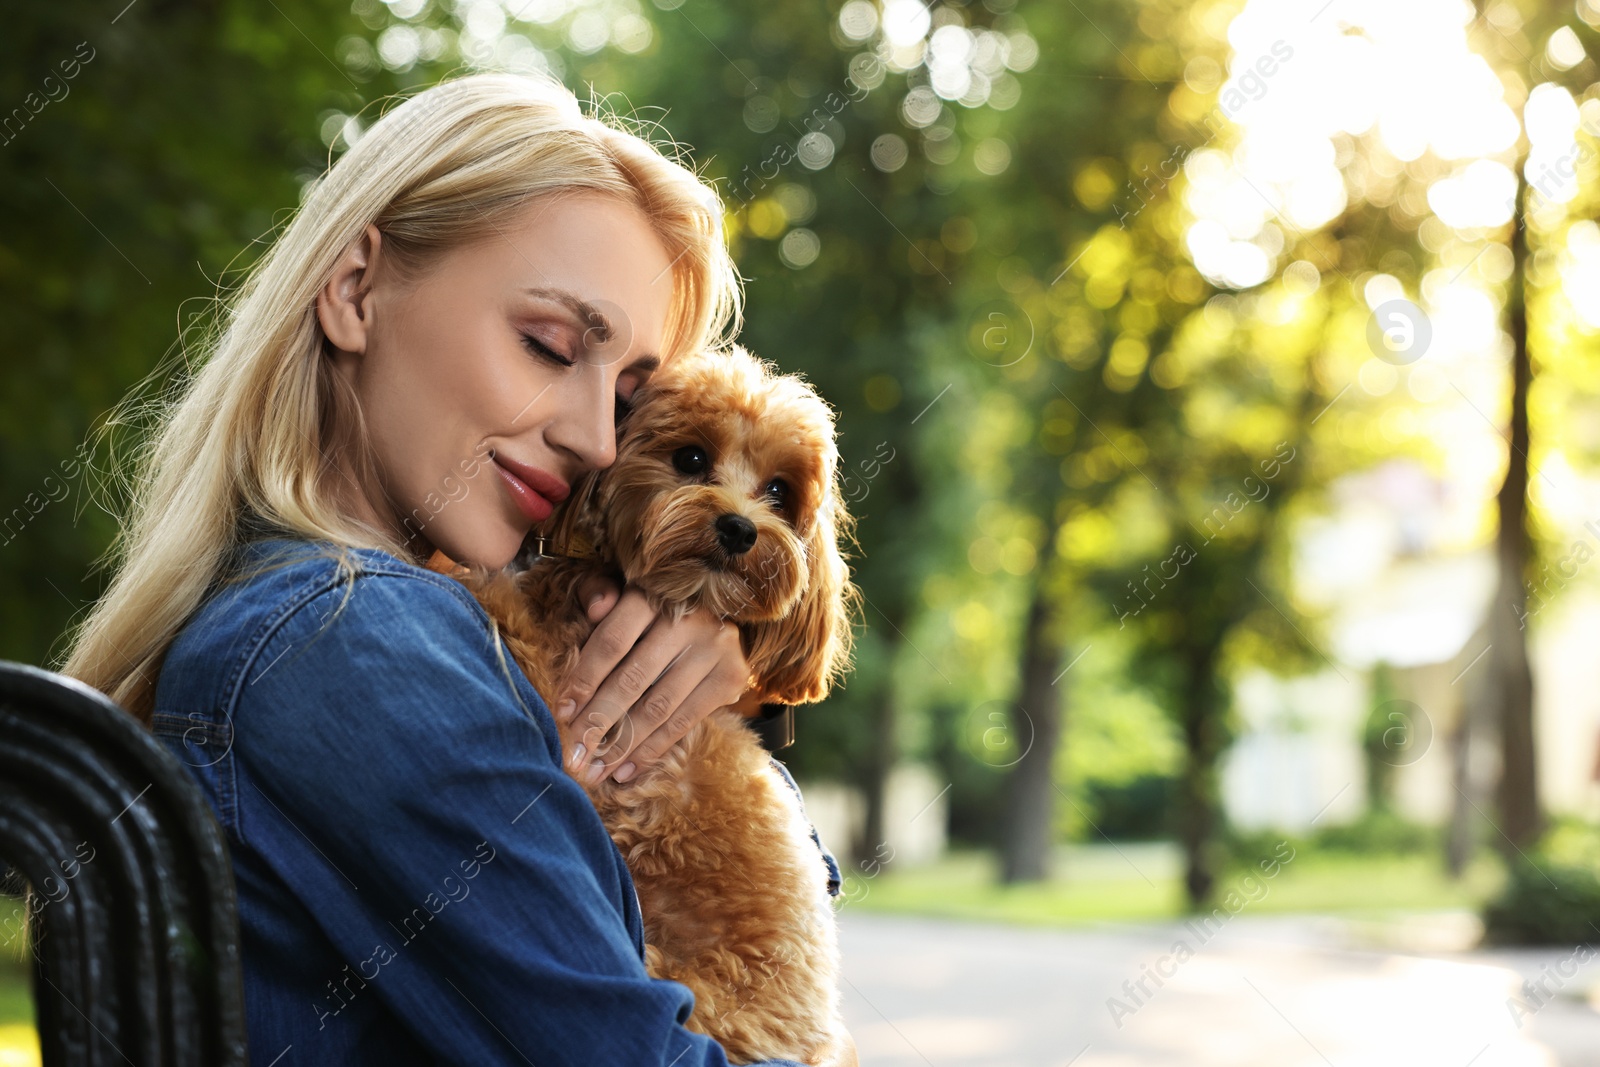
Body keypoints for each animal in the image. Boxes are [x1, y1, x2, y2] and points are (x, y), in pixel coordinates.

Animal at [451, 347, 857, 1062]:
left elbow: (511, 616)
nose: (739, 528)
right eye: (690, 458)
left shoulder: (583, 727)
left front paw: (466, 576)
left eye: (779, 491)